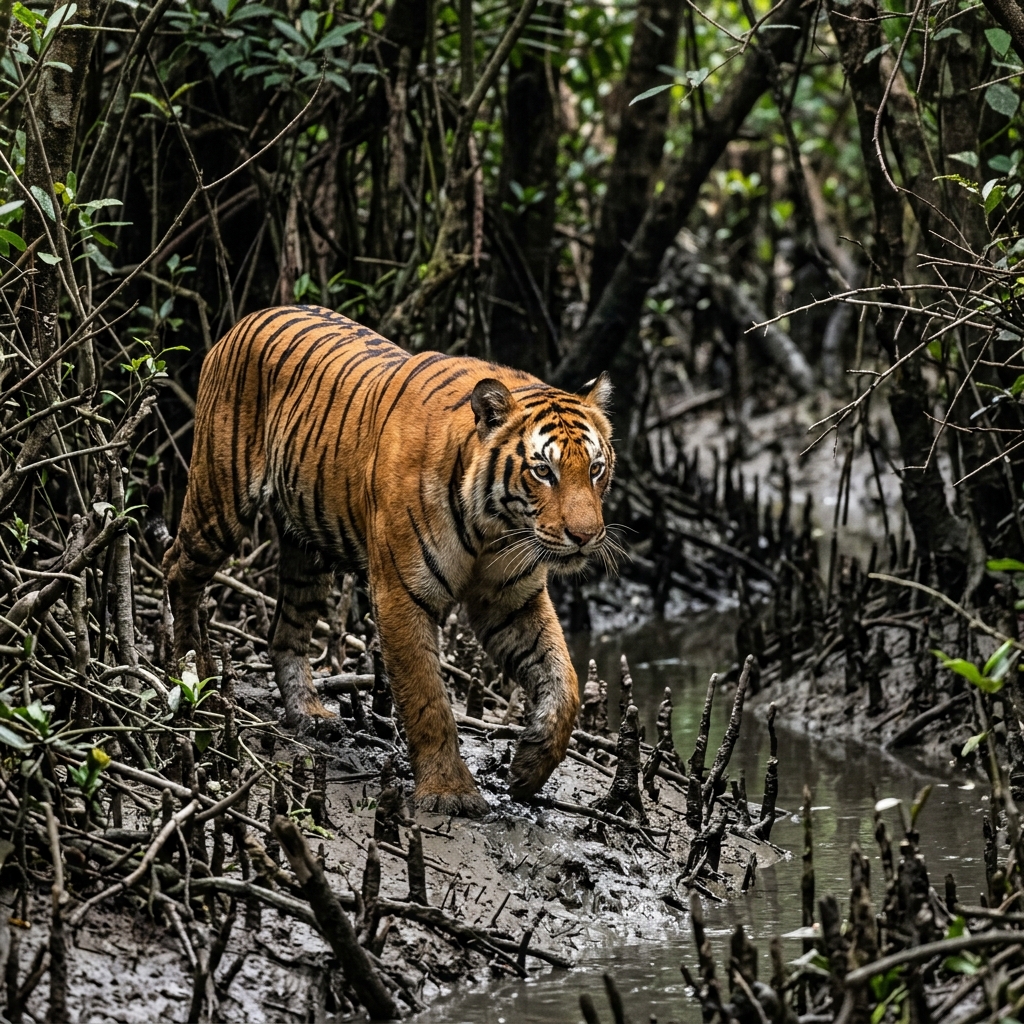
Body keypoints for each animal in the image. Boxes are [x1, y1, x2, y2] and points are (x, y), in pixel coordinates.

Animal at [163, 305, 615, 816]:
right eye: (543, 471)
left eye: (595, 469)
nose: (586, 536)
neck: (495, 527)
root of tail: (251, 316)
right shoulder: (402, 594)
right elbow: (427, 698)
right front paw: (449, 792)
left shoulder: (510, 599)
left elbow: (564, 680)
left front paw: (528, 768)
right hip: (217, 502)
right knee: (178, 569)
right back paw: (189, 672)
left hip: (307, 555)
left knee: (285, 632)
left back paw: (310, 715)